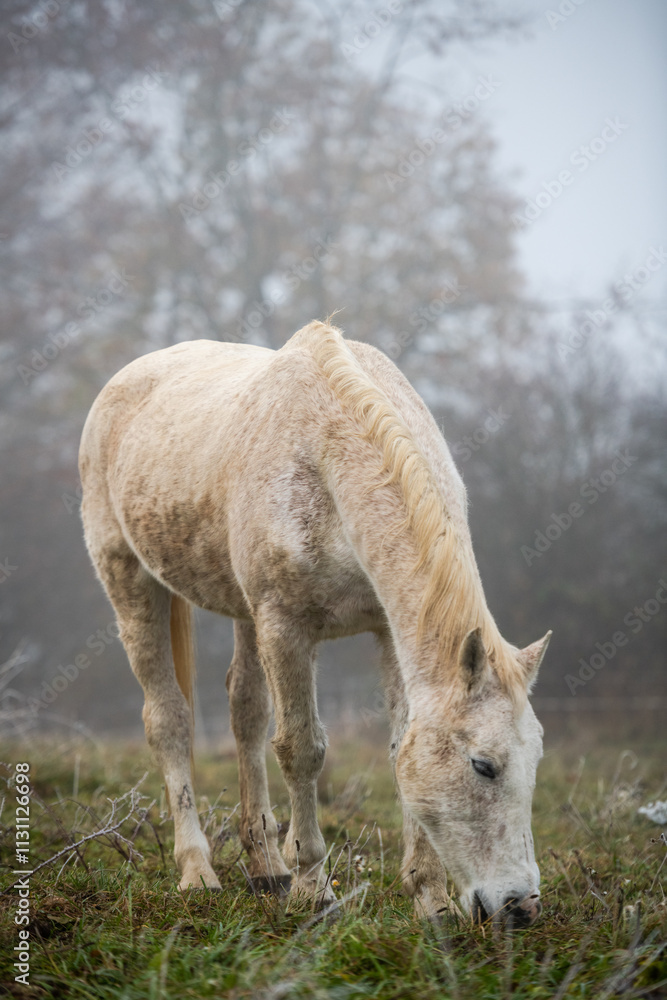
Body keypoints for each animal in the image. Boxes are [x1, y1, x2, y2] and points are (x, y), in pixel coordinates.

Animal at [79, 320, 551, 927]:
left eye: (534, 761)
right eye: (483, 766)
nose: (520, 906)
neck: (326, 454)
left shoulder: (387, 632)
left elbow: (398, 748)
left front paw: (430, 900)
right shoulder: (286, 626)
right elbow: (301, 749)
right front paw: (314, 890)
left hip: (243, 612)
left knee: (245, 710)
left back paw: (266, 869)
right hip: (131, 581)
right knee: (169, 721)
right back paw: (199, 872)